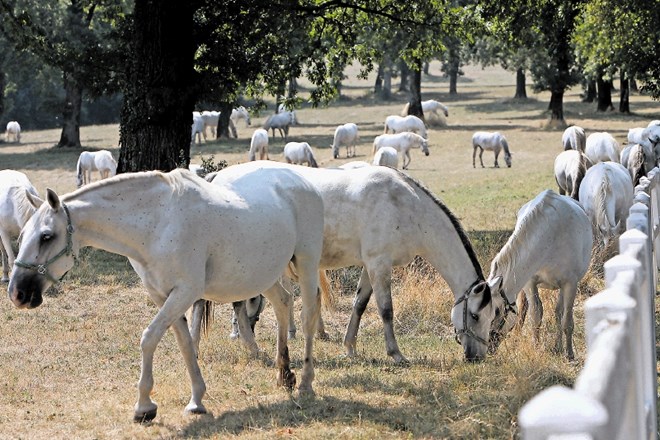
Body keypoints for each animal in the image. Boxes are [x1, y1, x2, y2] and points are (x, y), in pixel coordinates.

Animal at [7, 168, 322, 422]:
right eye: (22, 236)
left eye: (47, 236)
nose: (17, 293)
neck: (158, 223)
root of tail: (301, 181)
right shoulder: (163, 296)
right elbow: (185, 344)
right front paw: (196, 401)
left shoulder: (185, 292)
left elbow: (149, 338)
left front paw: (144, 407)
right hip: (261, 274)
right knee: (283, 302)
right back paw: (284, 375)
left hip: (306, 264)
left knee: (307, 316)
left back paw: (305, 383)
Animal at [192, 160, 490, 362]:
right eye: (475, 315)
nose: (476, 356)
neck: (404, 204)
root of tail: (217, 178)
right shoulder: (379, 264)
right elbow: (385, 309)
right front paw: (396, 354)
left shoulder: (371, 266)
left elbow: (359, 305)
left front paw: (349, 347)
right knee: (234, 304)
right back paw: (246, 347)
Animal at [484, 191, 592, 360]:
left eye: (496, 313)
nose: (486, 349)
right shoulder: (530, 283)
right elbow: (535, 315)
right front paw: (536, 347)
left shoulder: (570, 284)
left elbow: (566, 320)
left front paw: (569, 354)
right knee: (523, 312)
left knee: (558, 313)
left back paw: (558, 347)